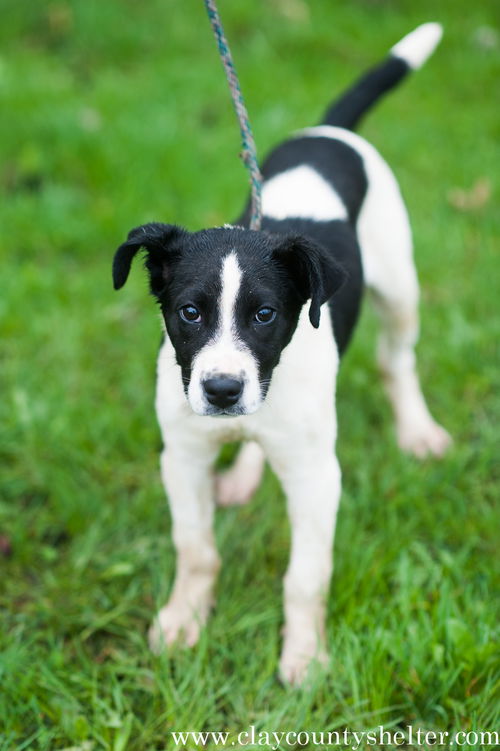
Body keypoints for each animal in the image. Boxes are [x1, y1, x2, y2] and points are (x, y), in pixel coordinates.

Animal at [112, 23, 450, 684]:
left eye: (265, 315)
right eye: (189, 313)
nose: (222, 391)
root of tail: (329, 131)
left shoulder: (318, 477)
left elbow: (306, 577)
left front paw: (306, 656)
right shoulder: (183, 456)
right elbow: (195, 548)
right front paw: (183, 621)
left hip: (400, 287)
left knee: (398, 360)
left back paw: (417, 431)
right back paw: (244, 473)